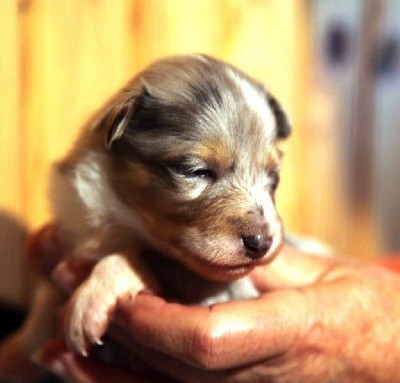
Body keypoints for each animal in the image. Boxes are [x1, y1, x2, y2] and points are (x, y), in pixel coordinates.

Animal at [0, 54, 290, 380]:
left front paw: (88, 303)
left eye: (274, 178)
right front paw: (15, 356)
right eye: (196, 171)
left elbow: (145, 255)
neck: (123, 220)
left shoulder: (226, 289)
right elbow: (42, 309)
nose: (262, 242)